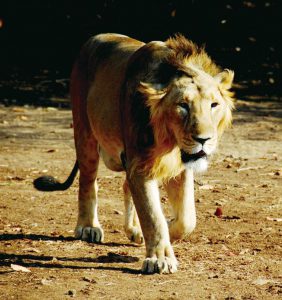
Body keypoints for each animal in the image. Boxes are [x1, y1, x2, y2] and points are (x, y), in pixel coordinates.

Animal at [34, 33, 235, 274]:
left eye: (214, 104)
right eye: (183, 105)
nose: (204, 140)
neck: (170, 142)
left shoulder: (178, 167)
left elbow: (187, 219)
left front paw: (165, 231)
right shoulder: (140, 163)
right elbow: (152, 216)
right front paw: (160, 259)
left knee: (124, 185)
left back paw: (133, 229)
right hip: (85, 134)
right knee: (88, 182)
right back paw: (88, 227)